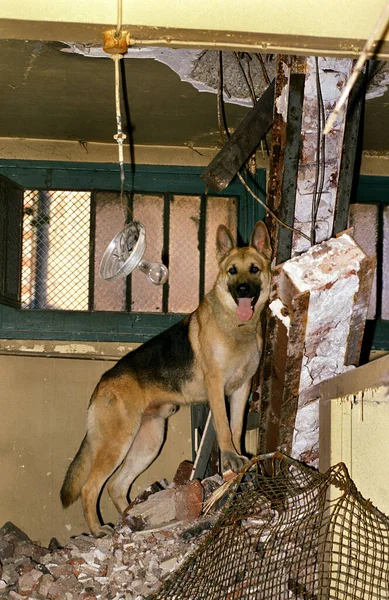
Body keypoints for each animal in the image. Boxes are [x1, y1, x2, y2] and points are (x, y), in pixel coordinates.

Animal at [60, 220, 272, 536]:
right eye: (232, 271)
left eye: (254, 269)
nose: (244, 290)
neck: (235, 325)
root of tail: (103, 382)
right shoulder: (217, 388)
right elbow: (224, 428)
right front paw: (230, 456)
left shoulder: (241, 390)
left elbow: (236, 428)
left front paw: (237, 457)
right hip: (117, 443)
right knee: (91, 487)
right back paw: (100, 530)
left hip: (148, 443)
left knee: (116, 485)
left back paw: (135, 519)